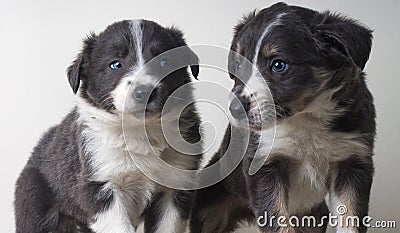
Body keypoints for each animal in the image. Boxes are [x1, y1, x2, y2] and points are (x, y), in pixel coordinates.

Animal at [14, 20, 203, 233]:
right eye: (115, 64)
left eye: (164, 62)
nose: (144, 92)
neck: (139, 130)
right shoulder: (101, 184)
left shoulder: (176, 185)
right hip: (34, 201)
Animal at [192, 2, 376, 233]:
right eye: (239, 65)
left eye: (279, 65)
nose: (234, 109)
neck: (306, 120)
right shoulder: (265, 166)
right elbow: (277, 221)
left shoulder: (353, 163)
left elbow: (351, 219)